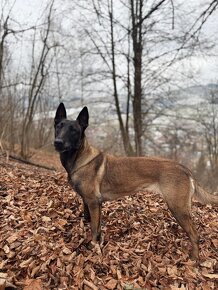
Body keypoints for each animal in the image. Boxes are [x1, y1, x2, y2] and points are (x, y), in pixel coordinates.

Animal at [54, 103, 218, 260]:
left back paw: (194, 259)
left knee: (195, 235)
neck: (79, 159)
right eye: (58, 126)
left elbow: (94, 229)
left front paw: (94, 247)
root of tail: (184, 168)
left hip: (178, 208)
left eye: (74, 130)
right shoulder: (88, 202)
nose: (58, 142)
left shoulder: (94, 203)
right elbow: (91, 222)